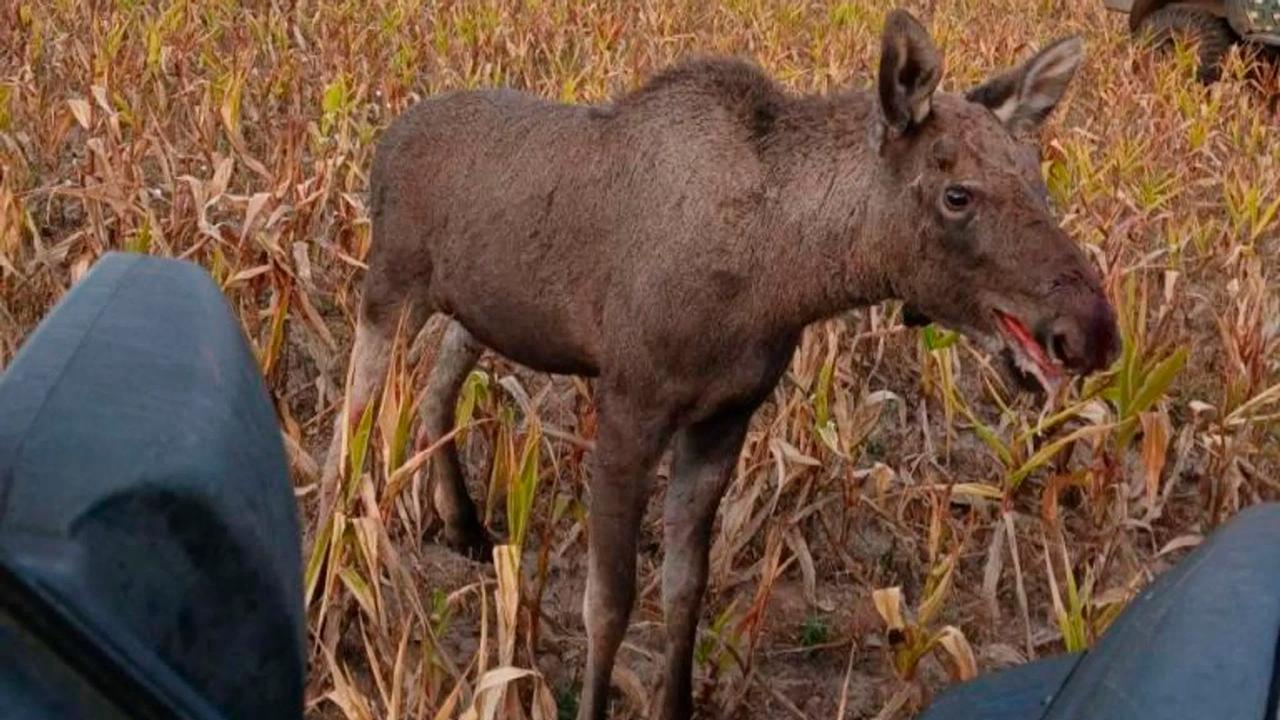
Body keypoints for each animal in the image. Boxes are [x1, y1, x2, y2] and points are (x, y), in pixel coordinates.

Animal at [318, 8, 1118, 719]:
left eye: (1039, 180)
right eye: (957, 194)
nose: (1092, 331)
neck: (782, 276)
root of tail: (385, 138)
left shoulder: (725, 419)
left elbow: (684, 591)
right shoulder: (630, 407)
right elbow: (608, 604)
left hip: (477, 311)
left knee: (435, 389)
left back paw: (462, 526)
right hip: (388, 286)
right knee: (350, 422)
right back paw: (332, 562)